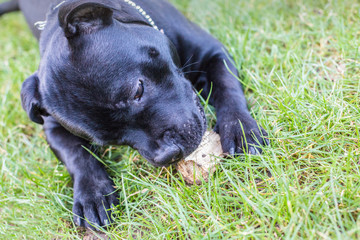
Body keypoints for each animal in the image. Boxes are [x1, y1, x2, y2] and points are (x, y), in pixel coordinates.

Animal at [0, 0, 268, 229]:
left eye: (137, 90)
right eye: (112, 139)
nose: (167, 155)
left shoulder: (214, 53)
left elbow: (227, 89)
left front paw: (239, 128)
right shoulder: (53, 127)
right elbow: (76, 155)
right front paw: (92, 194)